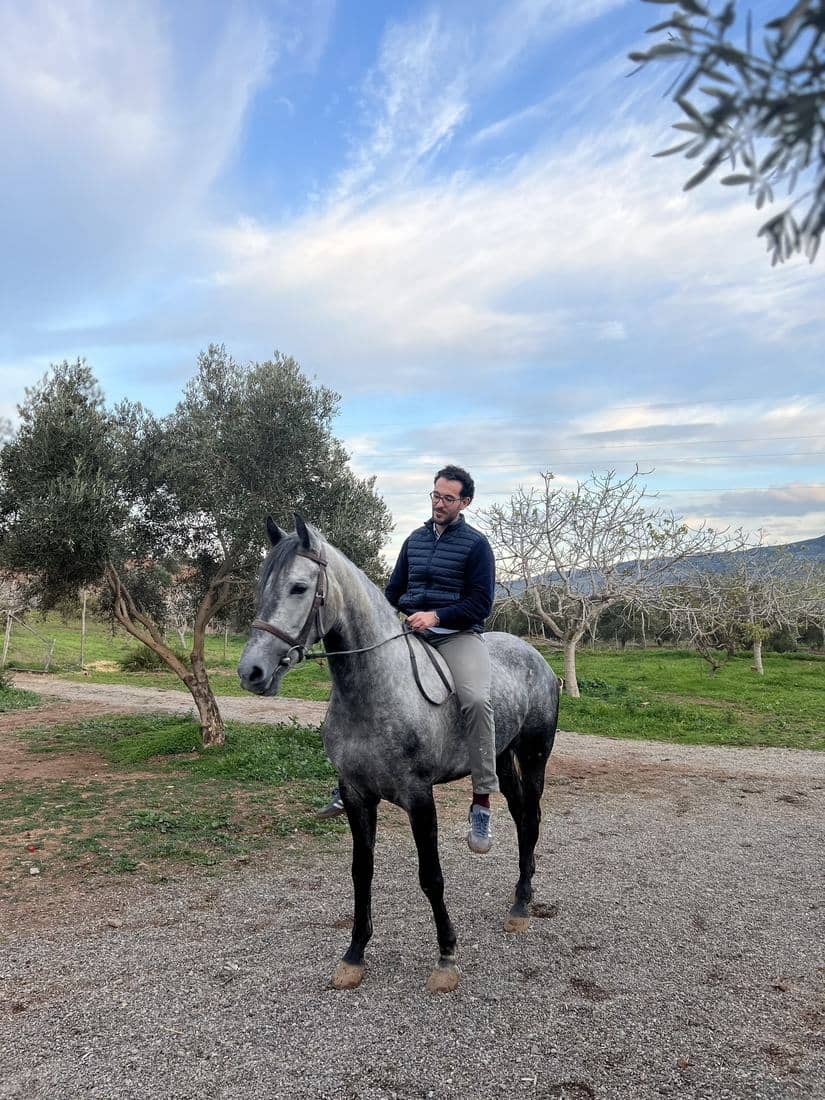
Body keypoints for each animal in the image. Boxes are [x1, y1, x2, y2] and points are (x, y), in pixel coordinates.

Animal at [238, 515, 560, 994]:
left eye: (298, 587)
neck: (376, 689)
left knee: (532, 817)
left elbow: (431, 876)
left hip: (534, 753)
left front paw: (446, 956)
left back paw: (521, 907)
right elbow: (361, 872)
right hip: (500, 756)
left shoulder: (418, 797)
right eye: (264, 586)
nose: (251, 672)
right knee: (520, 815)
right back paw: (521, 894)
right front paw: (354, 955)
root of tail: (536, 657)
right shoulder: (357, 795)